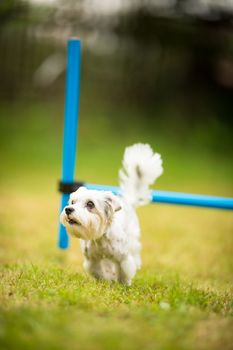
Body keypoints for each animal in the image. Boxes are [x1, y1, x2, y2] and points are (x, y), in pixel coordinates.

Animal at [60, 144, 162, 286]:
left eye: (90, 204)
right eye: (73, 202)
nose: (68, 209)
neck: (100, 238)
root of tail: (128, 200)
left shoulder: (123, 259)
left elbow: (124, 273)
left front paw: (124, 284)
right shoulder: (93, 260)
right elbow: (99, 272)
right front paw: (106, 280)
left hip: (133, 240)